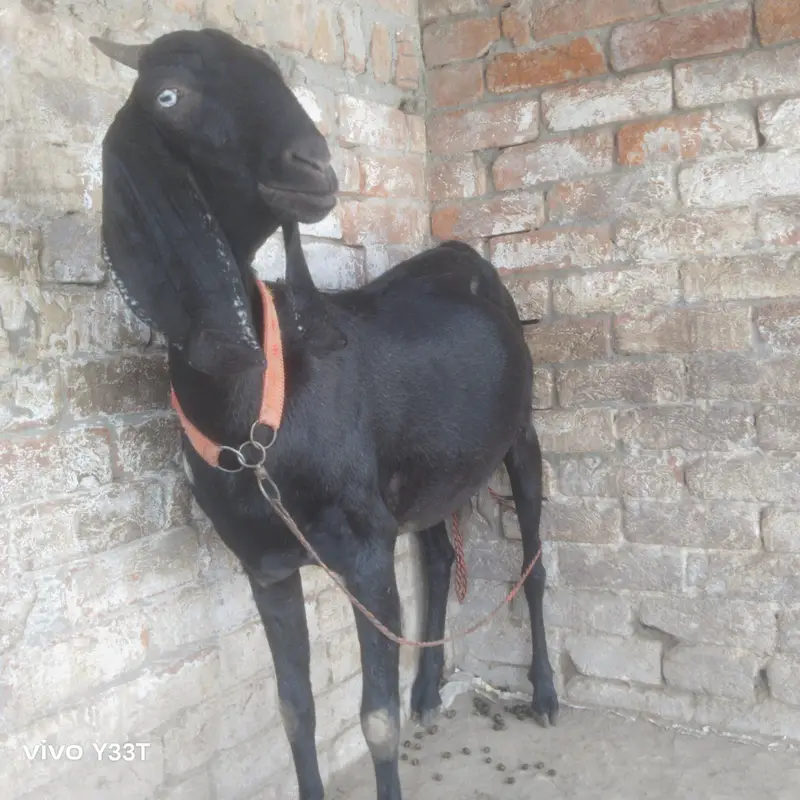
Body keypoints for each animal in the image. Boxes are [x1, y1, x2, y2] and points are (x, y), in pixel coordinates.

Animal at [91, 28, 558, 800]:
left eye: (272, 71)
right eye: (168, 97)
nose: (313, 164)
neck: (252, 423)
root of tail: (467, 256)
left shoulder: (364, 555)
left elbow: (375, 721)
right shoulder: (266, 568)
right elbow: (294, 709)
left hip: (521, 436)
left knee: (535, 562)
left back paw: (546, 693)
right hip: (428, 476)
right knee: (439, 555)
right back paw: (430, 686)